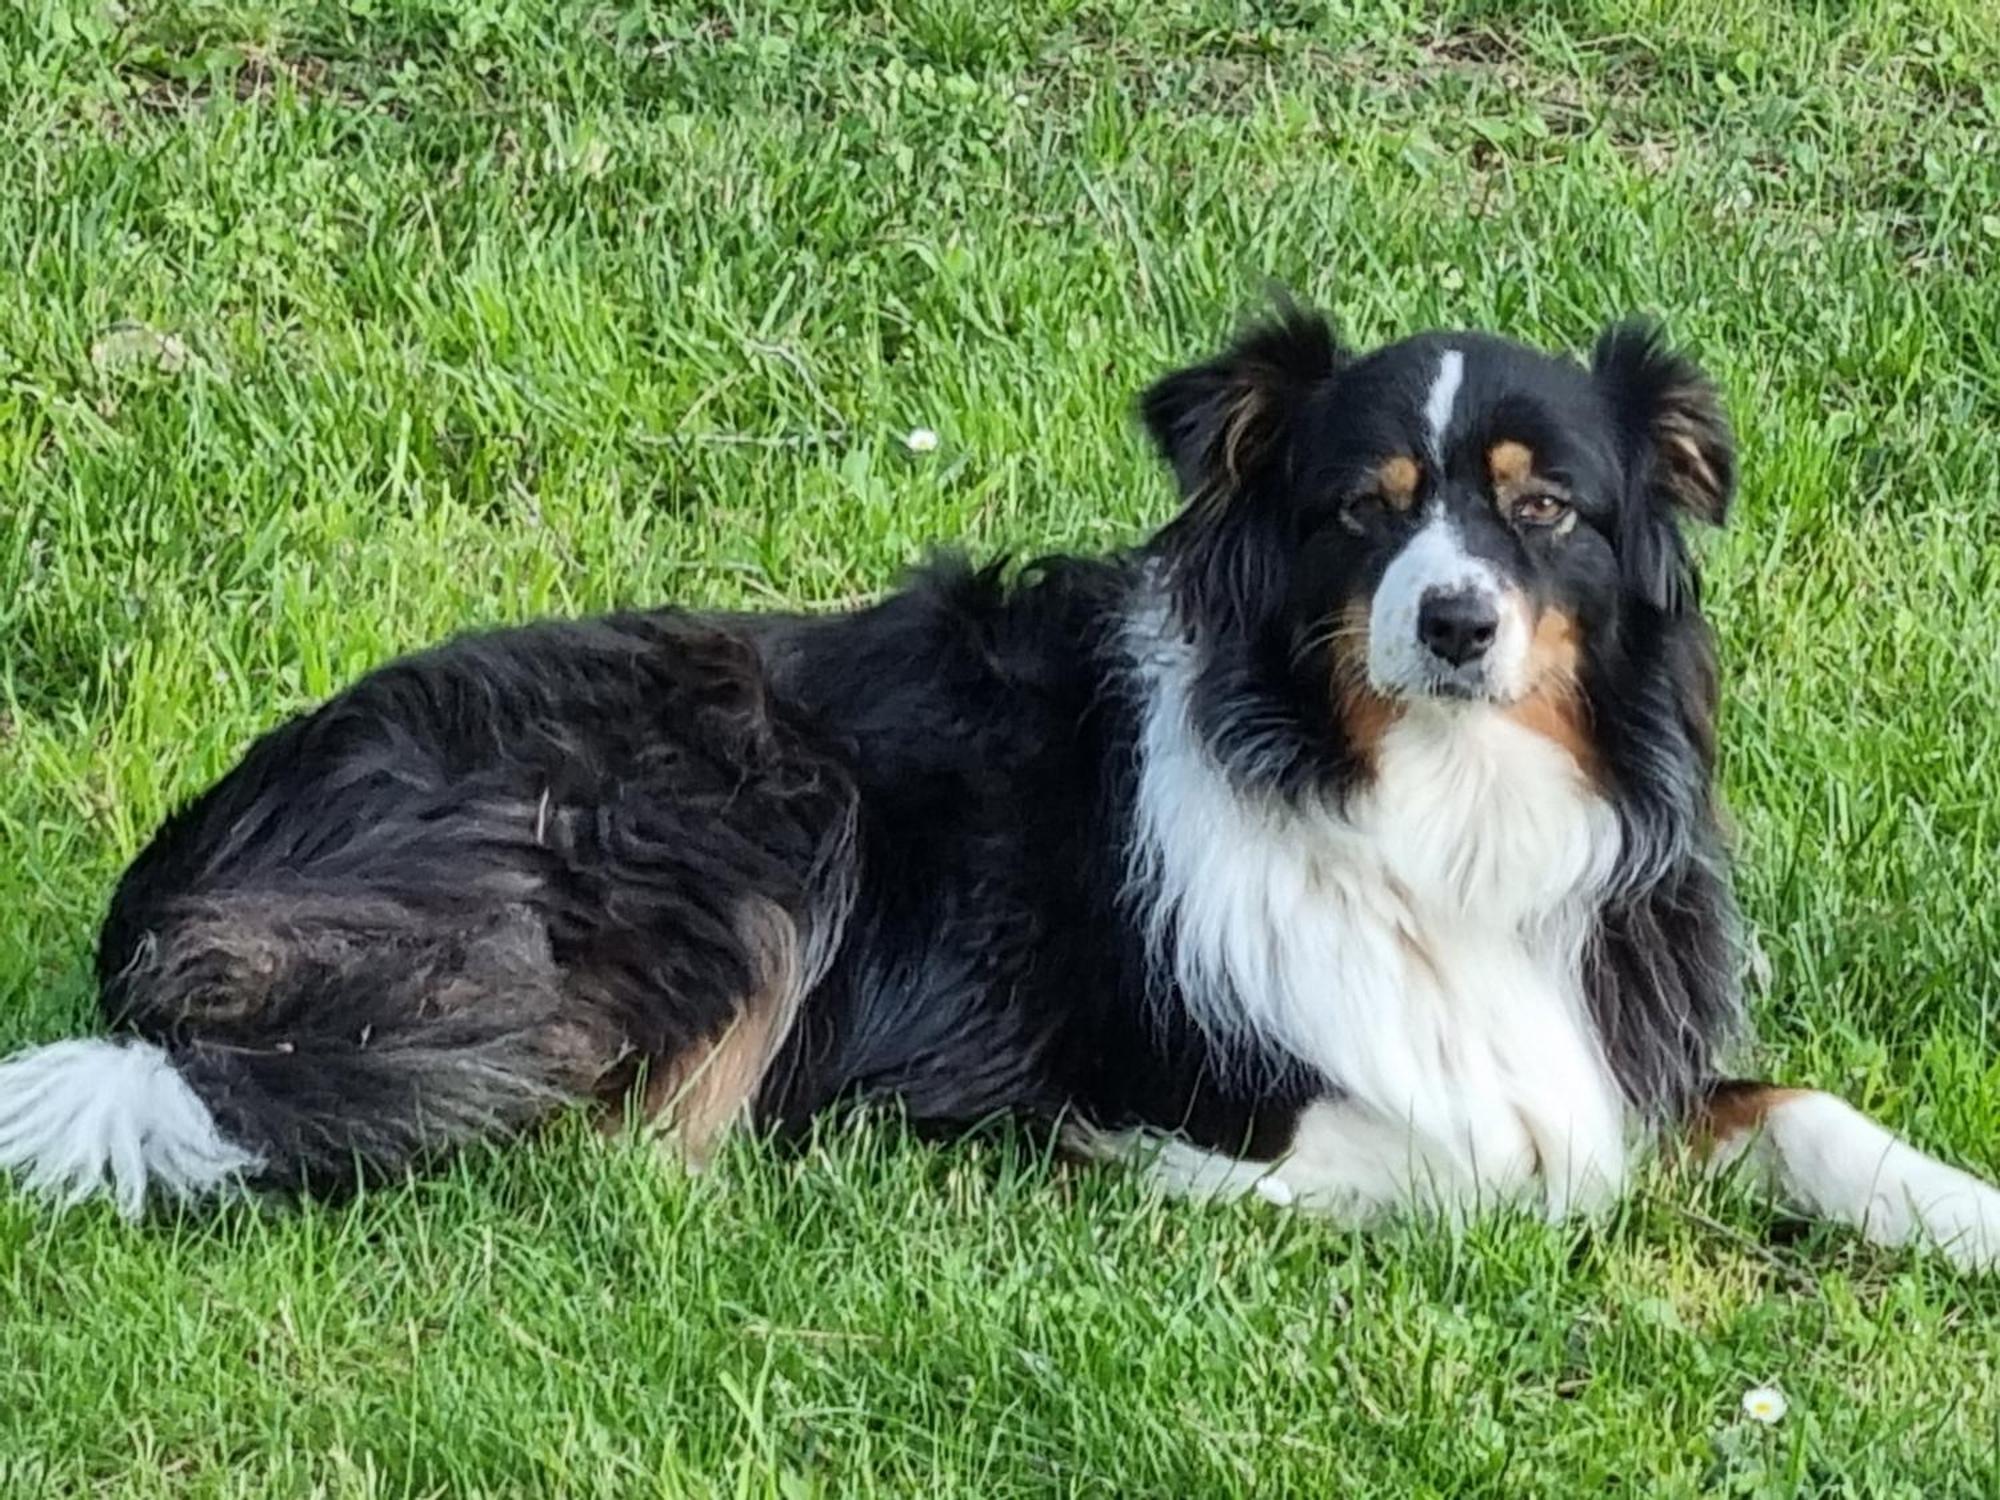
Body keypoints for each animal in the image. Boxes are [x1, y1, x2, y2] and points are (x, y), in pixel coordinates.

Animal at [0, 314, 1992, 1272]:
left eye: (1545, 506)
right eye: (1364, 509)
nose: (1454, 621)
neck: (1426, 809)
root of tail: (183, 877)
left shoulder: (1601, 1030)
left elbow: (1797, 1112)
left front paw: (1963, 1218)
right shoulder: (1168, 1084)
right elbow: (1492, 1165)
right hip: (750, 800)